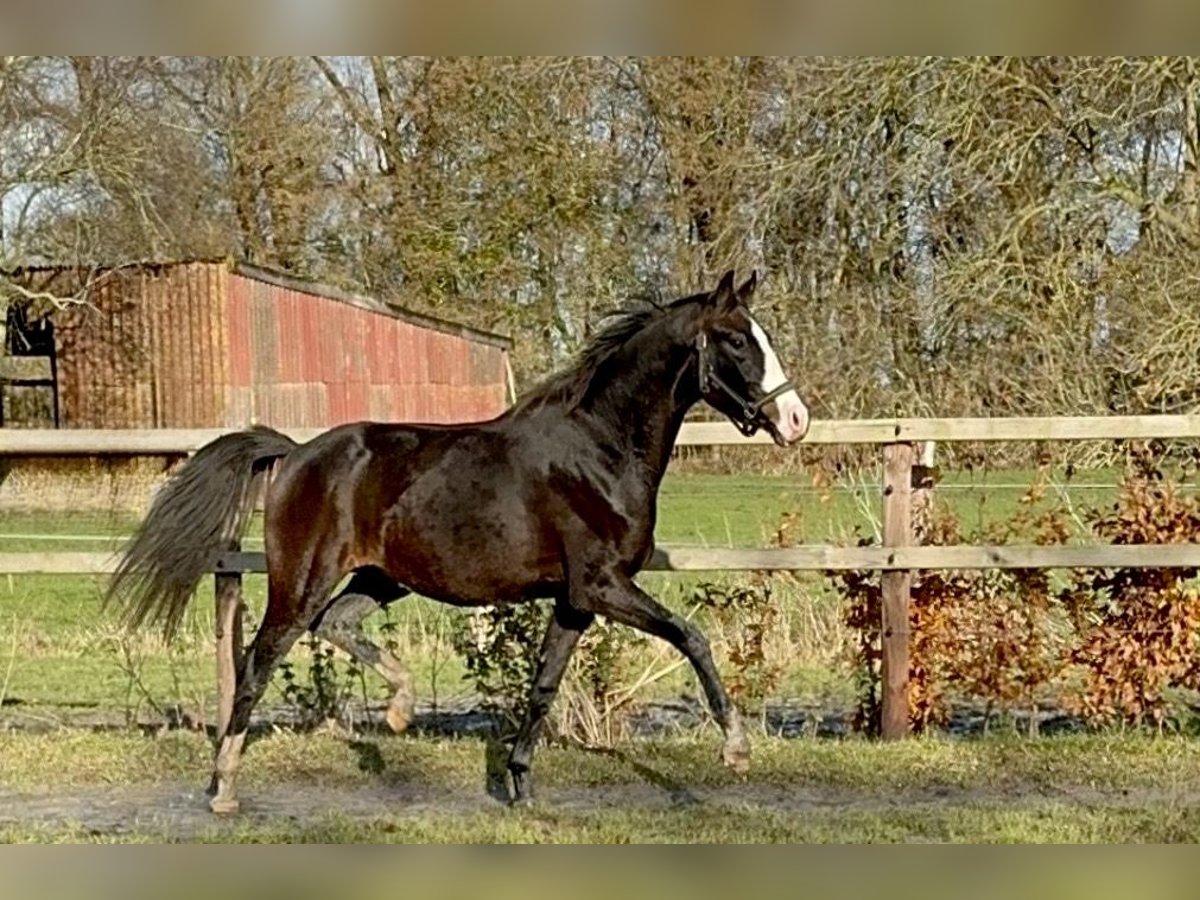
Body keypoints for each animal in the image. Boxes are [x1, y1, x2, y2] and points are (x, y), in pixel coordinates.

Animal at [105, 269, 810, 814]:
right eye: (736, 340)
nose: (796, 419)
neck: (600, 451)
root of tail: (296, 452)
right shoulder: (604, 585)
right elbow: (692, 636)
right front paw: (736, 749)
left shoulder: (574, 601)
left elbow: (544, 684)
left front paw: (520, 787)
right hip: (301, 581)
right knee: (258, 661)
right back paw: (224, 787)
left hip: (380, 577)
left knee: (339, 624)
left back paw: (399, 708)